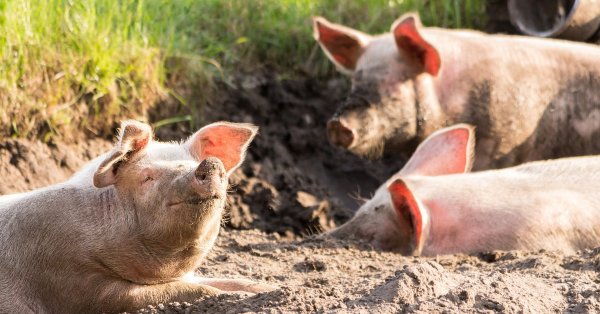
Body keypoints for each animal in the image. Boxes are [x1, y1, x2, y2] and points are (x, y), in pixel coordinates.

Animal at [0, 119, 276, 312]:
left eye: (190, 162)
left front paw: (270, 289)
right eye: (147, 177)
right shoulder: (75, 282)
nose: (210, 163)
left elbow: (230, 282)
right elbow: (190, 290)